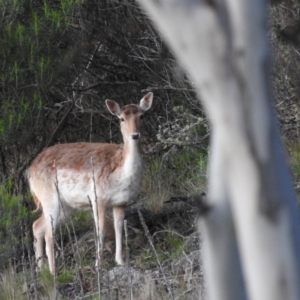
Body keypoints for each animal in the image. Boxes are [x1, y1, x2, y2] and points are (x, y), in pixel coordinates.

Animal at [27, 92, 154, 274]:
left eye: (142, 116)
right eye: (121, 118)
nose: (135, 135)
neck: (121, 174)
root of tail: (30, 172)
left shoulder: (121, 201)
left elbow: (118, 227)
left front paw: (120, 261)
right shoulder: (97, 198)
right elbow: (100, 229)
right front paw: (98, 265)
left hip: (66, 206)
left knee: (37, 225)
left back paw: (41, 269)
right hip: (50, 198)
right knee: (48, 234)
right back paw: (53, 272)